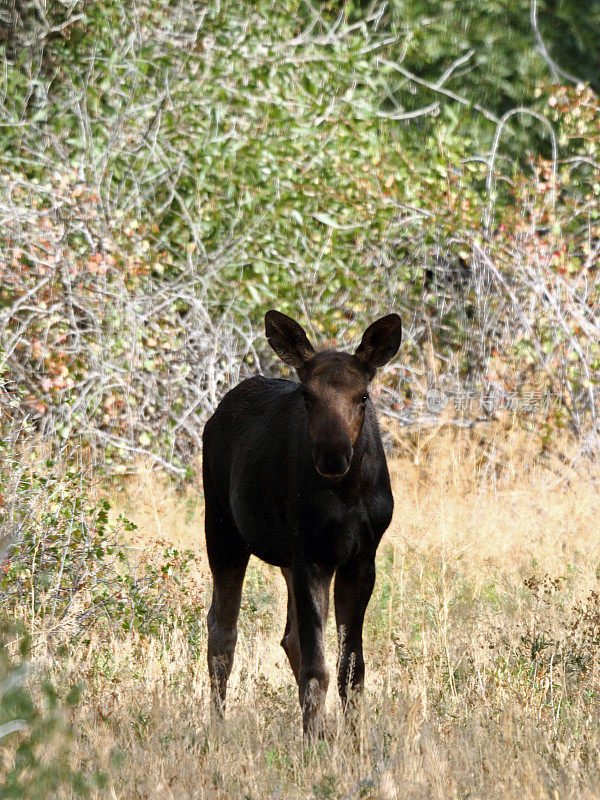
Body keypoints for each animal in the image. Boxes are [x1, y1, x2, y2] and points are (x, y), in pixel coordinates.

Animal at [203, 310, 404, 740]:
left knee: (289, 637)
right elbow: (317, 668)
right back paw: (218, 727)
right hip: (223, 529)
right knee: (221, 631)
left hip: (285, 558)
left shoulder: (360, 560)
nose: (332, 456)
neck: (347, 494)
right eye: (307, 396)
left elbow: (351, 669)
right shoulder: (312, 556)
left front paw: (353, 740)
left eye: (363, 396)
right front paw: (312, 742)